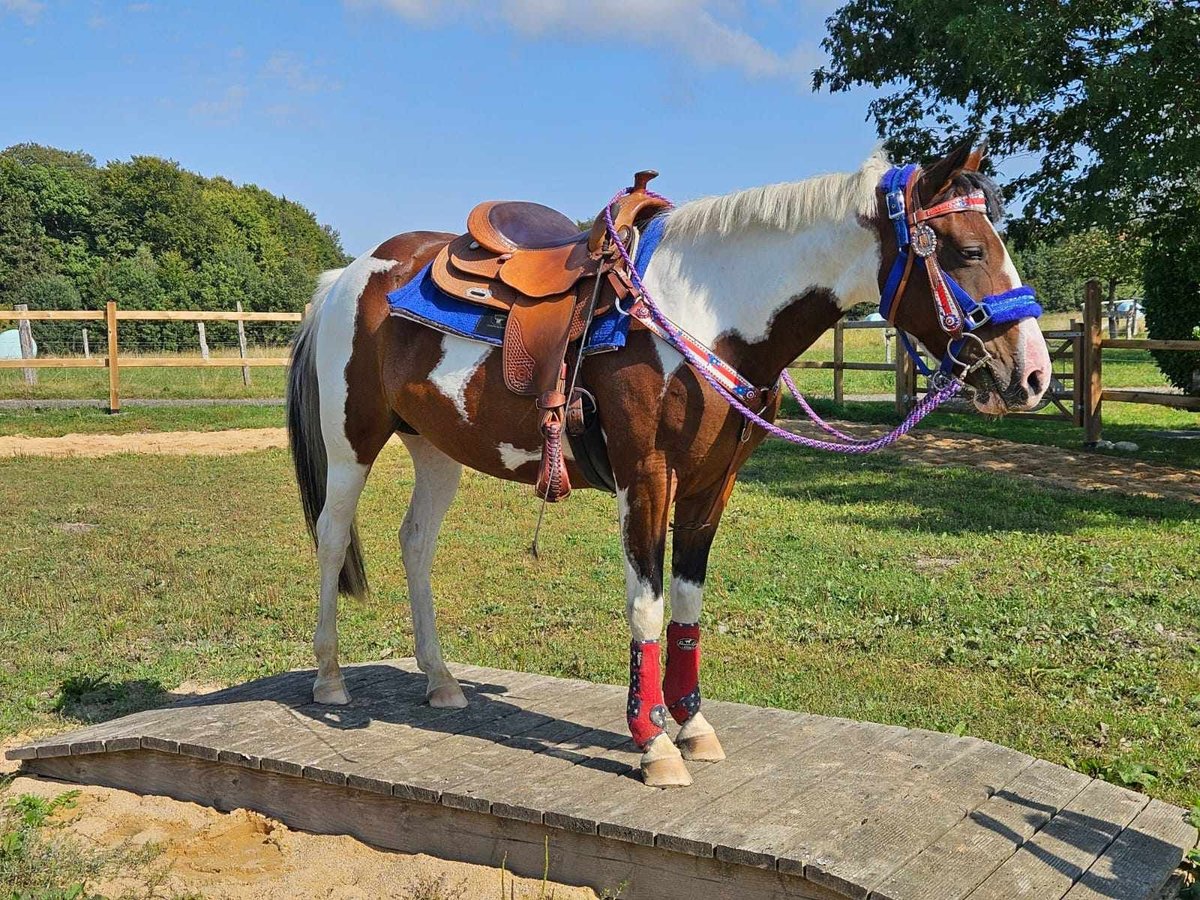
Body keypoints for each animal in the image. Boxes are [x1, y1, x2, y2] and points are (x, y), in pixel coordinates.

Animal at [285, 142, 1046, 787]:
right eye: (969, 249)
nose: (1034, 375)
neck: (707, 314)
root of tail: (348, 275)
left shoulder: (713, 483)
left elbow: (686, 605)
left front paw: (693, 726)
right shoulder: (645, 477)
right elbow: (647, 607)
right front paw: (652, 742)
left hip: (438, 449)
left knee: (415, 544)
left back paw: (442, 681)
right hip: (352, 443)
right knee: (330, 539)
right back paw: (329, 678)